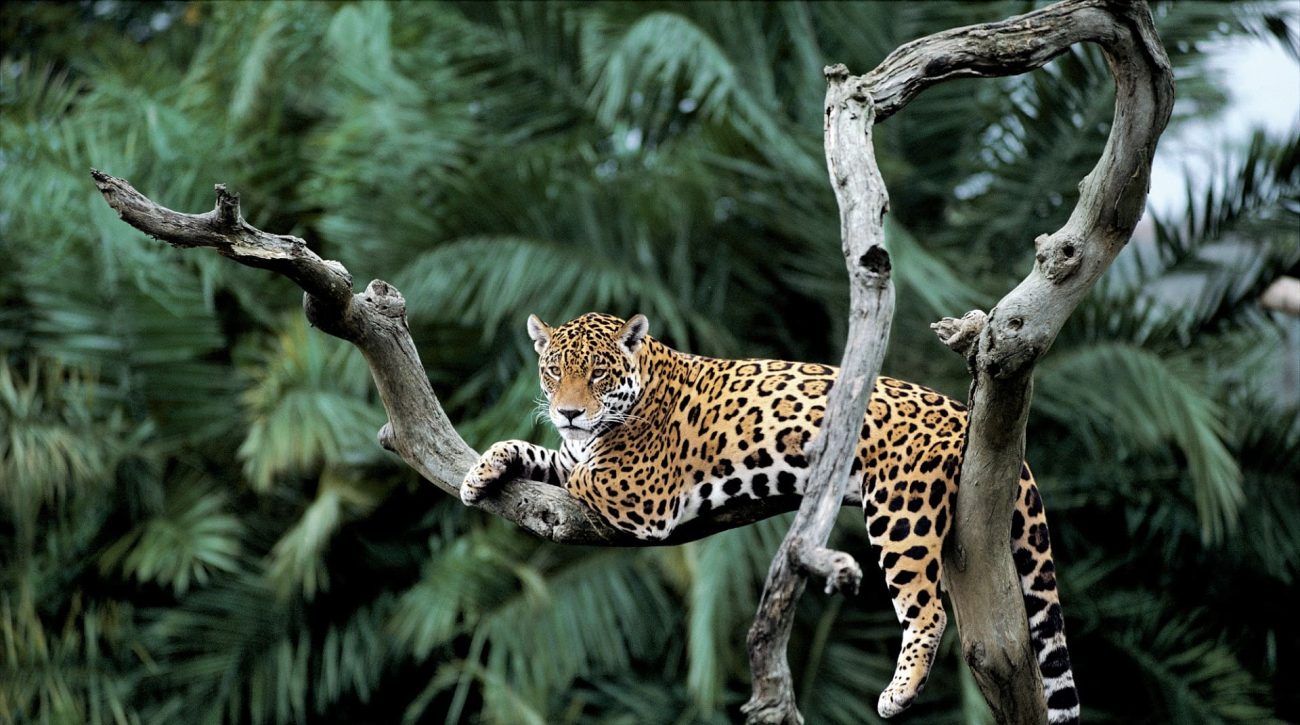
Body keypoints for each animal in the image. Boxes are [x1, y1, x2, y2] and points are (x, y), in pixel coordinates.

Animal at [461, 312, 1079, 723]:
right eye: (552, 370)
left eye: (597, 374)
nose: (567, 412)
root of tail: (963, 413)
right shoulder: (573, 454)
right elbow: (537, 452)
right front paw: (480, 472)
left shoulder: (640, 490)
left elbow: (581, 474)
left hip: (900, 511)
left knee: (927, 609)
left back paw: (898, 693)